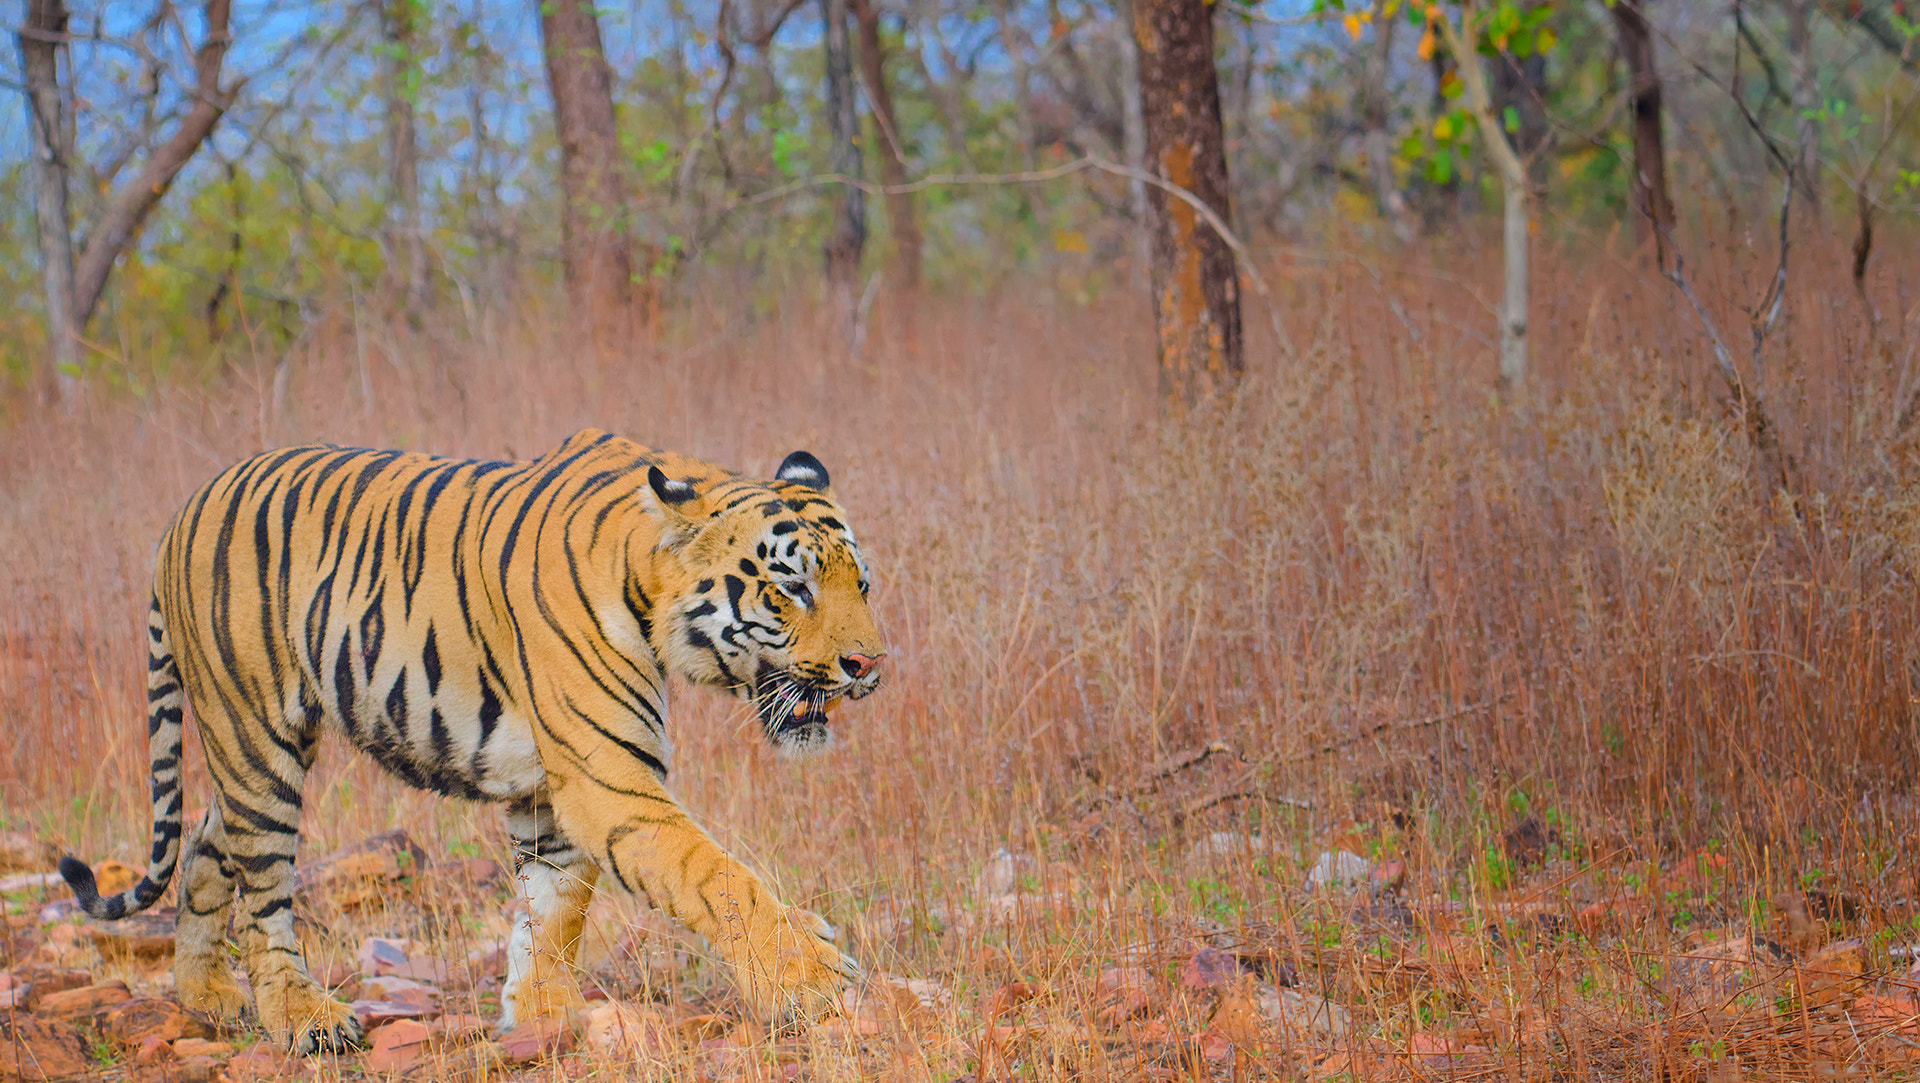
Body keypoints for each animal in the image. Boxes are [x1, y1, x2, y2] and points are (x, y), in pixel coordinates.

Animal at [58, 429, 885, 1054]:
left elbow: (556, 906)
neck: (644, 576)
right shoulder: (609, 777)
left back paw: (209, 995)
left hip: (248, 754)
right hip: (258, 735)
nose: (870, 663)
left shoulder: (554, 787)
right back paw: (303, 1018)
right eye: (793, 587)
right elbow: (716, 874)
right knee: (262, 889)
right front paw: (813, 972)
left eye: (862, 584)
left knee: (206, 841)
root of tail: (182, 512)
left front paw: (544, 1015)